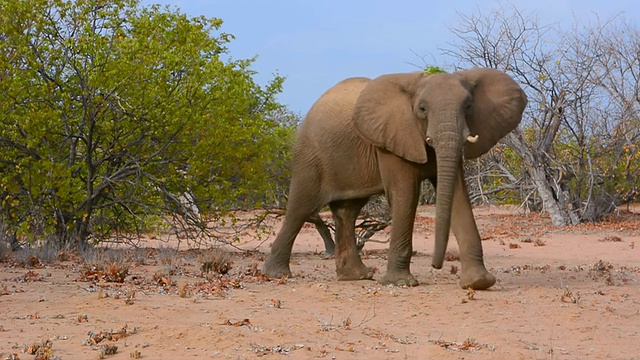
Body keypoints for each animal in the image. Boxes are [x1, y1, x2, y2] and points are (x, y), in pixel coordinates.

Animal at [262, 67, 528, 290]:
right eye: (422, 109)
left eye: (469, 106)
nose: (436, 265)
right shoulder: (391, 140)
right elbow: (406, 195)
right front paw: (401, 283)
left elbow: (458, 196)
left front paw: (478, 283)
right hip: (311, 154)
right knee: (300, 208)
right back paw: (277, 275)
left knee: (347, 211)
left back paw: (357, 276)